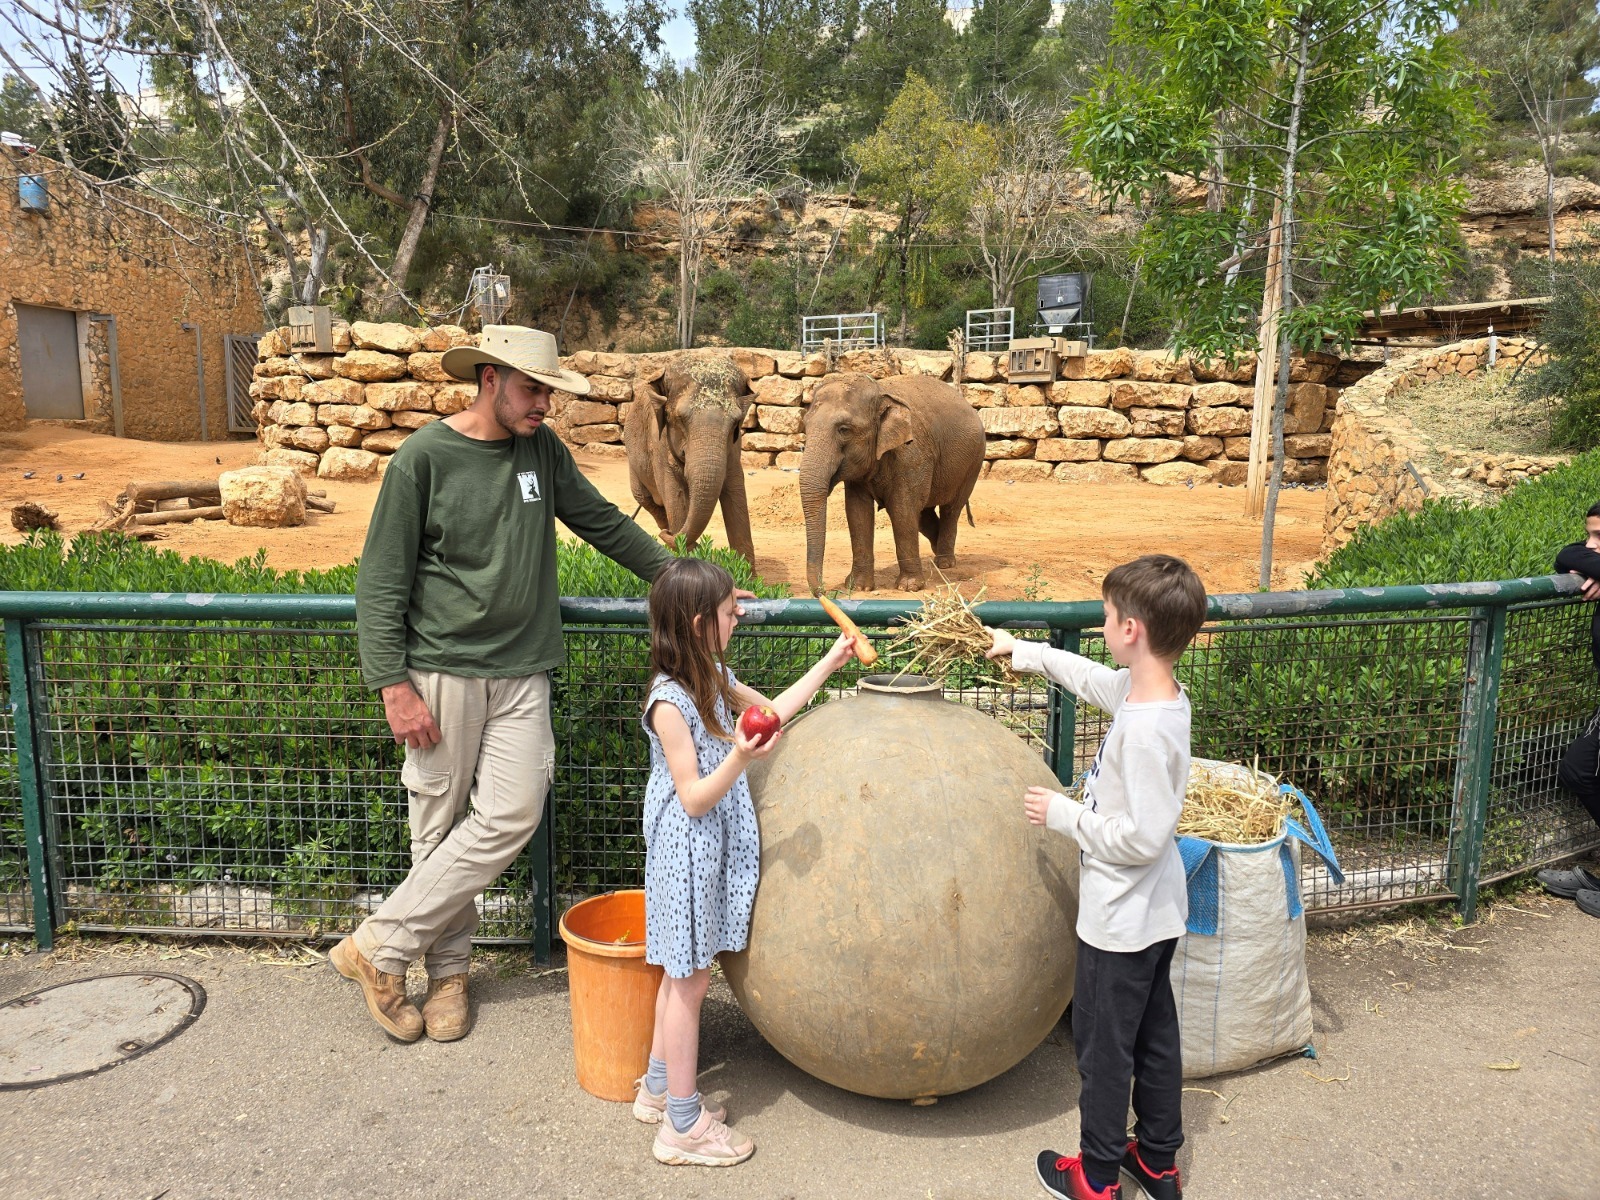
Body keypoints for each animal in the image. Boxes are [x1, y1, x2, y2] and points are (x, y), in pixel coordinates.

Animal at [624, 355, 755, 566]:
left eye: (736, 422)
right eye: (680, 418)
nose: (668, 534)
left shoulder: (734, 447)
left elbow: (735, 488)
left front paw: (746, 573)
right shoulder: (658, 442)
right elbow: (674, 493)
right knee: (647, 500)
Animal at [796, 366, 979, 592]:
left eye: (844, 430)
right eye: (805, 425)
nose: (823, 591)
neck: (879, 390)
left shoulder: (911, 454)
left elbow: (902, 510)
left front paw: (909, 587)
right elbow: (857, 512)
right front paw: (858, 587)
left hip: (972, 465)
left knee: (951, 509)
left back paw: (944, 563)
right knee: (924, 515)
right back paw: (937, 551)